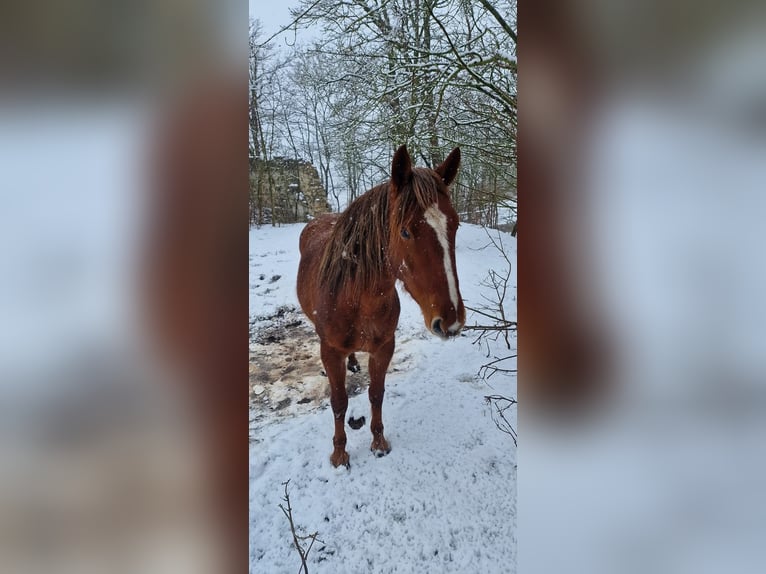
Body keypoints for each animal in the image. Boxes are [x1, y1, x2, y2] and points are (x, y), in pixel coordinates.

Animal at [298, 144, 468, 468]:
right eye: (405, 231)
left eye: (455, 225)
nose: (450, 320)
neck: (357, 300)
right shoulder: (331, 351)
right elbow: (339, 402)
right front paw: (339, 454)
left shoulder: (384, 347)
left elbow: (376, 394)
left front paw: (378, 443)